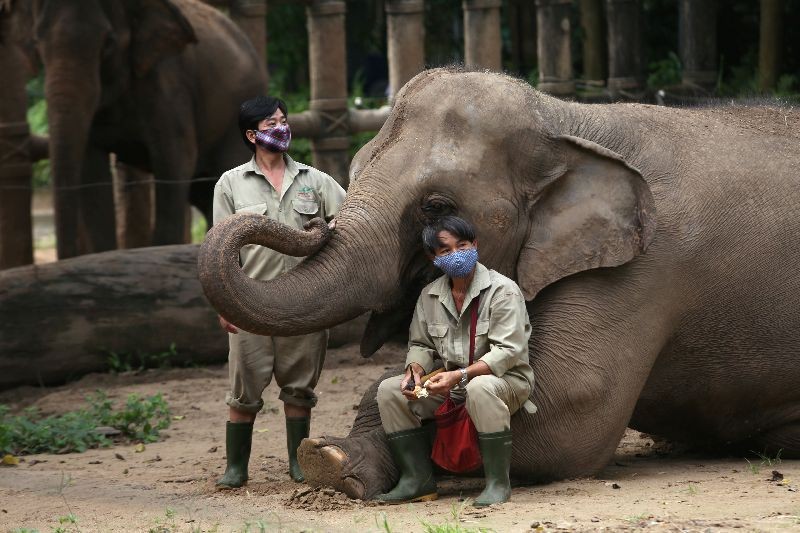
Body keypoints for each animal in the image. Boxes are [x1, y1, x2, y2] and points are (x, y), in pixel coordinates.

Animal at [198, 68, 800, 500]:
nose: (315, 223)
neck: (572, 120)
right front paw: (329, 457)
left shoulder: (647, 265)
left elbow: (573, 406)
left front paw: (331, 461)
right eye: (356, 169)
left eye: (436, 205)